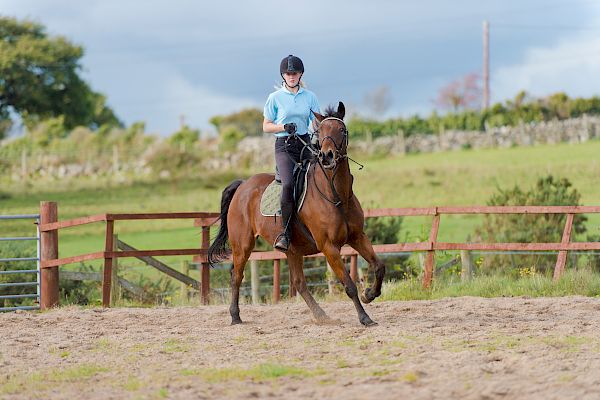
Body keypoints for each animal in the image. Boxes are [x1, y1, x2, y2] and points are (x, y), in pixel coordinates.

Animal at [209, 101, 386, 326]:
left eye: (342, 130)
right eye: (320, 131)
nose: (327, 156)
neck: (336, 194)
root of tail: (242, 185)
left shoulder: (357, 237)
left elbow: (379, 266)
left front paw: (370, 294)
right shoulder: (329, 247)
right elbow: (349, 285)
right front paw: (364, 317)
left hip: (292, 249)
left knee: (299, 282)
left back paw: (322, 316)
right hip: (242, 244)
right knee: (236, 276)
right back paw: (235, 317)